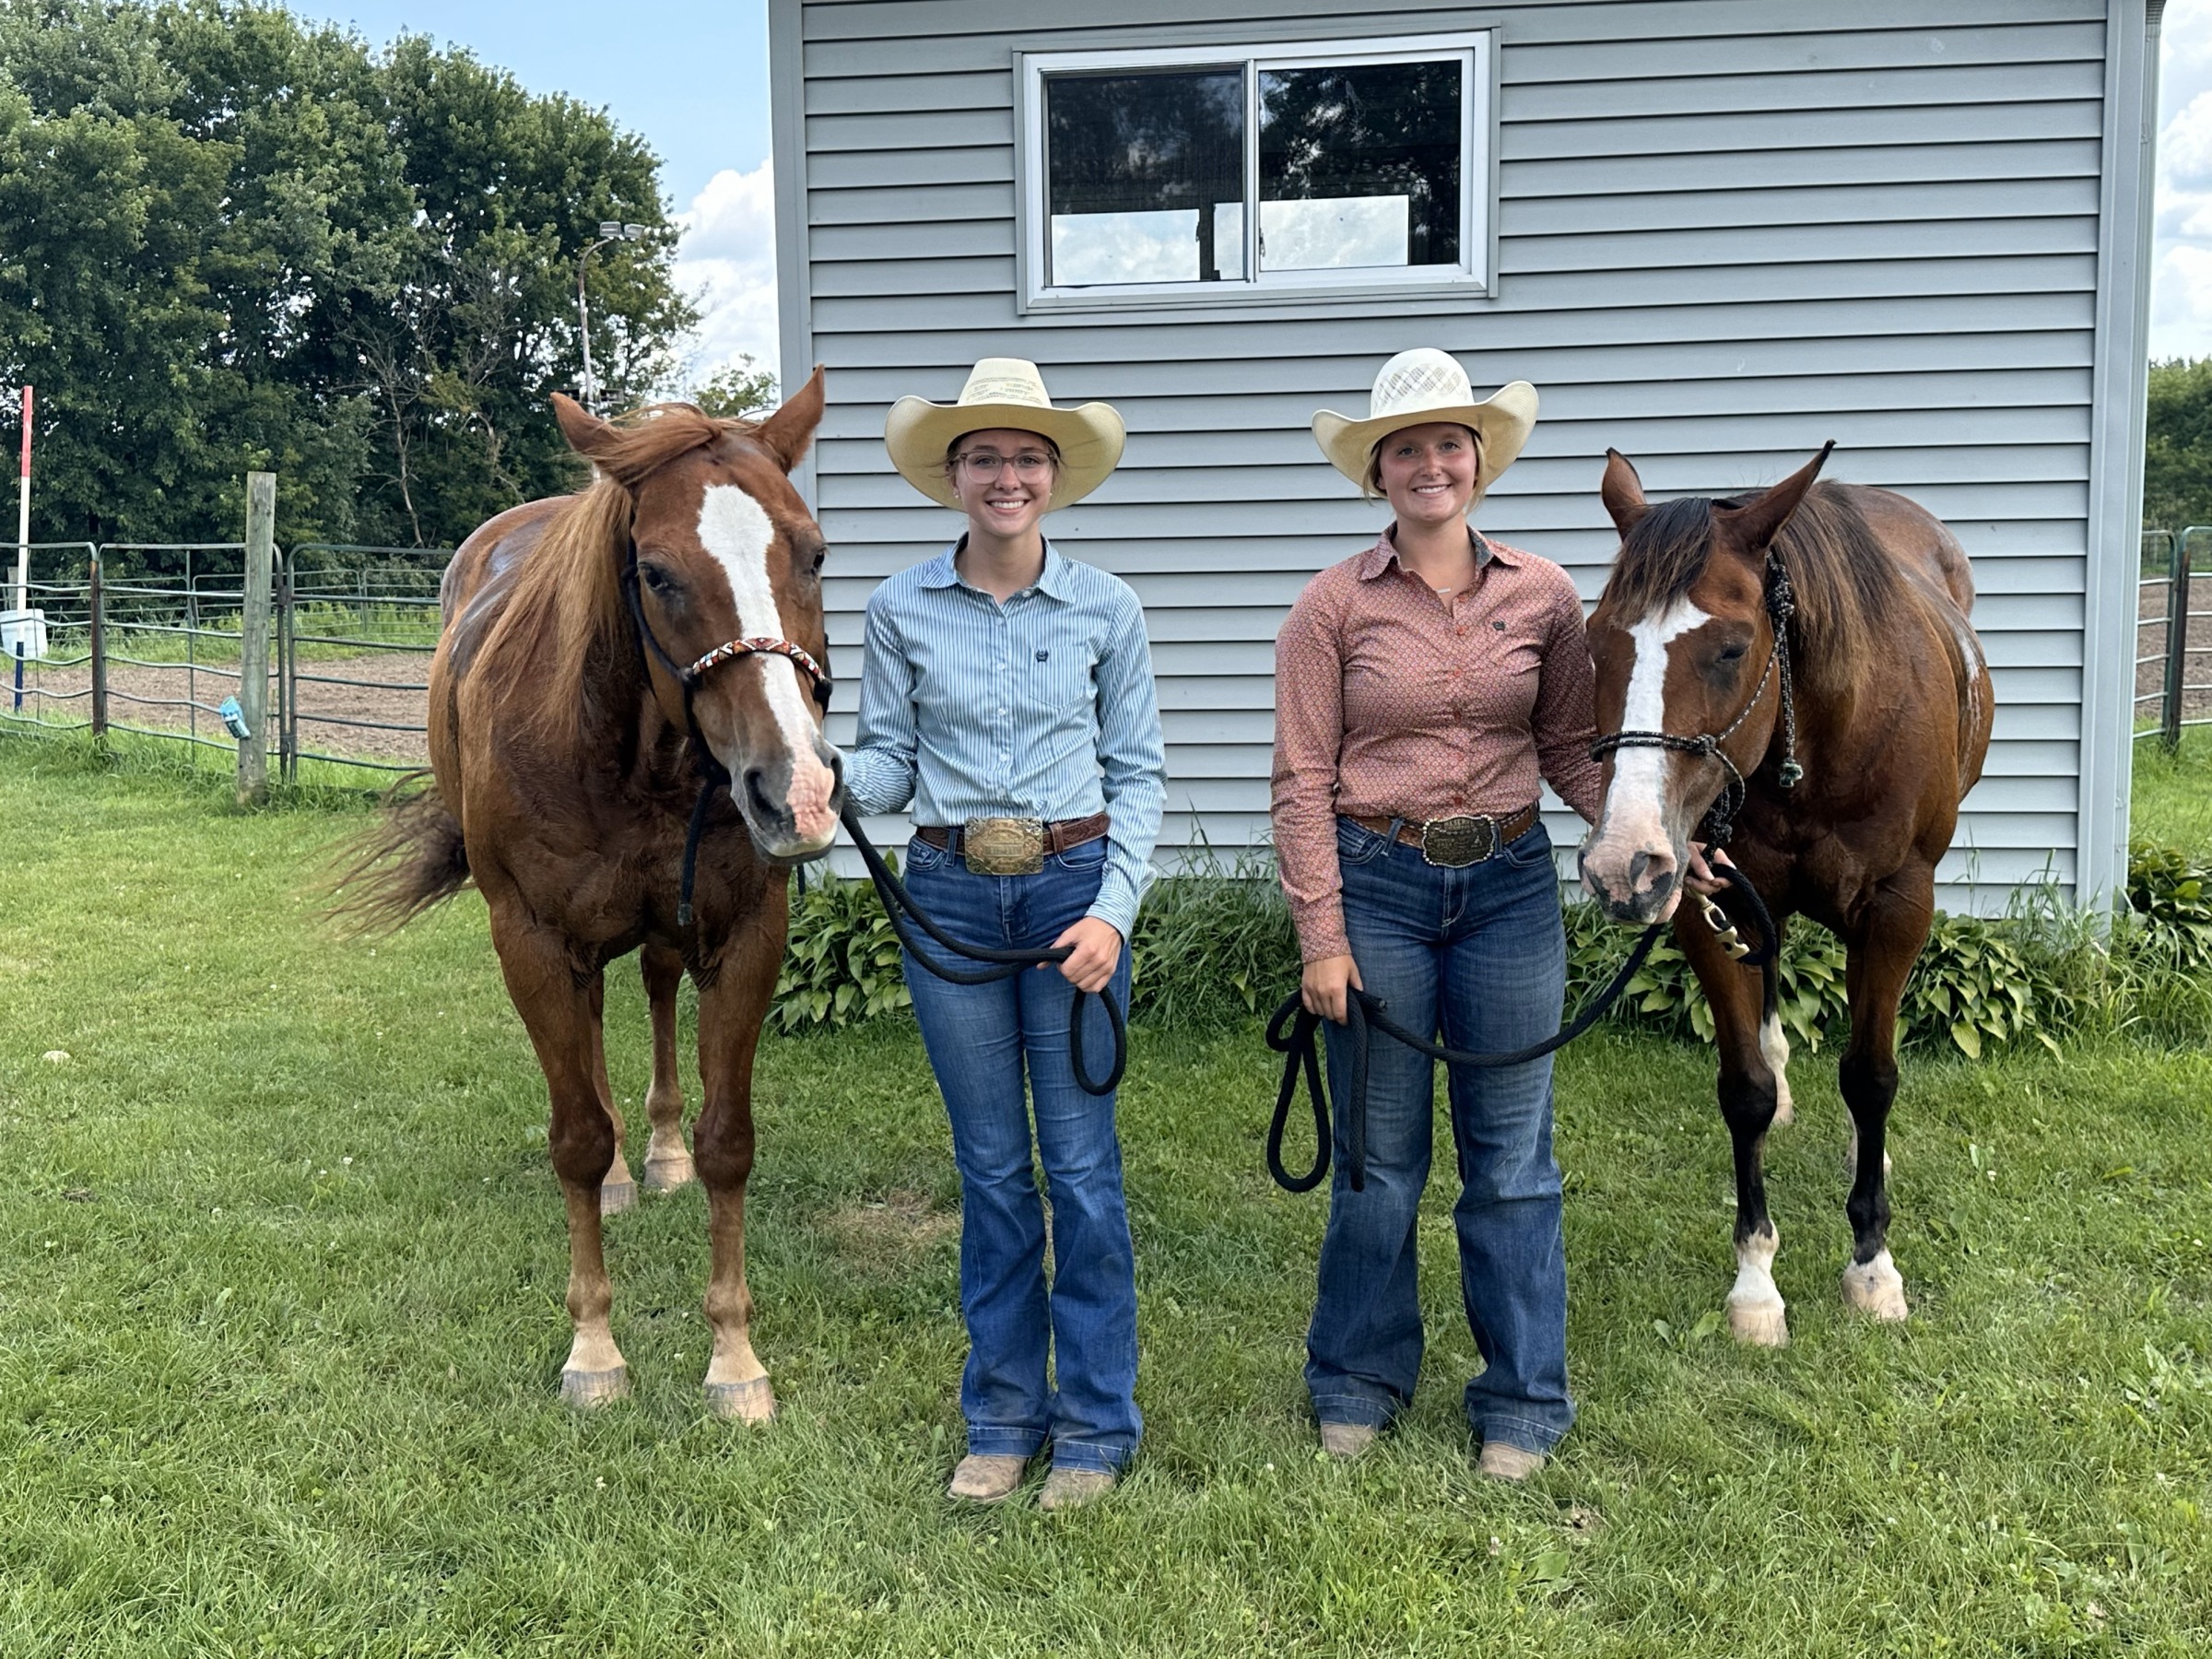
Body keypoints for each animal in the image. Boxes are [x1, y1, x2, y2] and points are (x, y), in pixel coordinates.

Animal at [345, 376, 844, 1416]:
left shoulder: (746, 935)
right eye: (655, 573)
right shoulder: (531, 942)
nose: (798, 791)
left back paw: (654, 1154)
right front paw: (594, 1349)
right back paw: (620, 1168)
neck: (629, 755)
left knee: (647, 992)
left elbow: (729, 1141)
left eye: (814, 553)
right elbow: (574, 1137)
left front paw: (734, 1358)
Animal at [1583, 444, 1999, 1353]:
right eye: (1597, 643)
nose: (1623, 866)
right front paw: (1755, 1285)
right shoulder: (1706, 902)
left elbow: (1872, 1077)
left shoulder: (1897, 908)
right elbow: (1741, 1089)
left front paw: (1873, 1267)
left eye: (1733, 648)